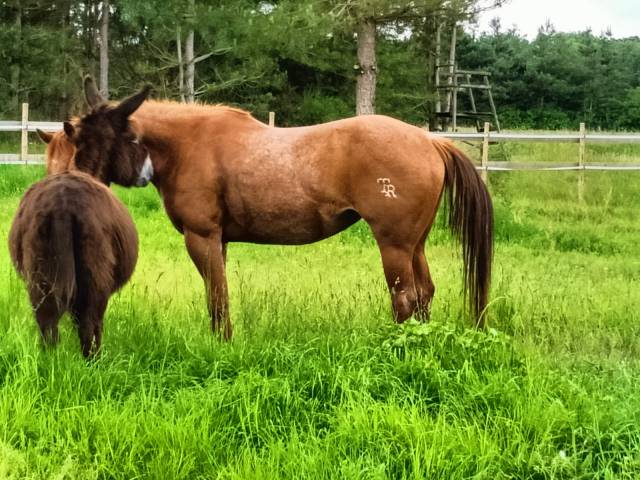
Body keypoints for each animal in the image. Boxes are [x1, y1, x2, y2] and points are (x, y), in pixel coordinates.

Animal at [8, 88, 151, 356]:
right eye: (132, 138)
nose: (148, 173)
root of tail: (63, 208)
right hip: (95, 281)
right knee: (89, 330)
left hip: (41, 279)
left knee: (48, 329)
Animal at [79, 78, 490, 342]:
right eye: (77, 134)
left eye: (104, 138)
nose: (79, 181)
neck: (187, 146)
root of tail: (430, 141)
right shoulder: (218, 241)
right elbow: (219, 295)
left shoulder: (202, 237)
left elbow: (217, 298)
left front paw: (222, 344)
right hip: (414, 244)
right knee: (424, 293)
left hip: (394, 246)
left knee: (404, 299)